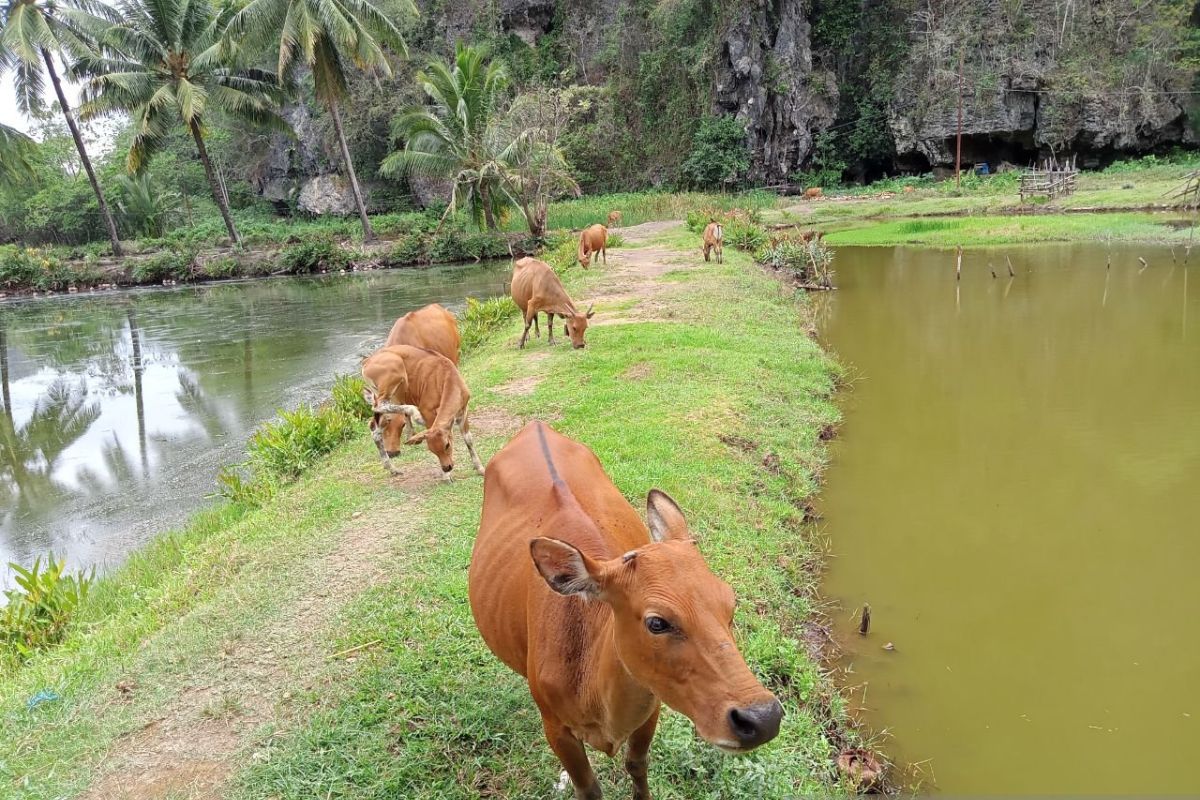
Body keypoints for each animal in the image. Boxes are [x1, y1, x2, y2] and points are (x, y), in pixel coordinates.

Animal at [357, 345, 484, 482]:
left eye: (447, 445)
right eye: (431, 450)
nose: (447, 467)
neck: (447, 377)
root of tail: (367, 362)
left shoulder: (462, 411)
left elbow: (468, 439)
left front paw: (480, 468)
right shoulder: (427, 410)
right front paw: (446, 477)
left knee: (375, 427)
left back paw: (393, 469)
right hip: (396, 376)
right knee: (378, 405)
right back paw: (414, 413)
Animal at [468, 422, 787, 796]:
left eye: (730, 601)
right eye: (657, 622)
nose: (762, 718)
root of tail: (536, 425)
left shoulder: (652, 703)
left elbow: (637, 764)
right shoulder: (555, 726)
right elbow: (589, 788)